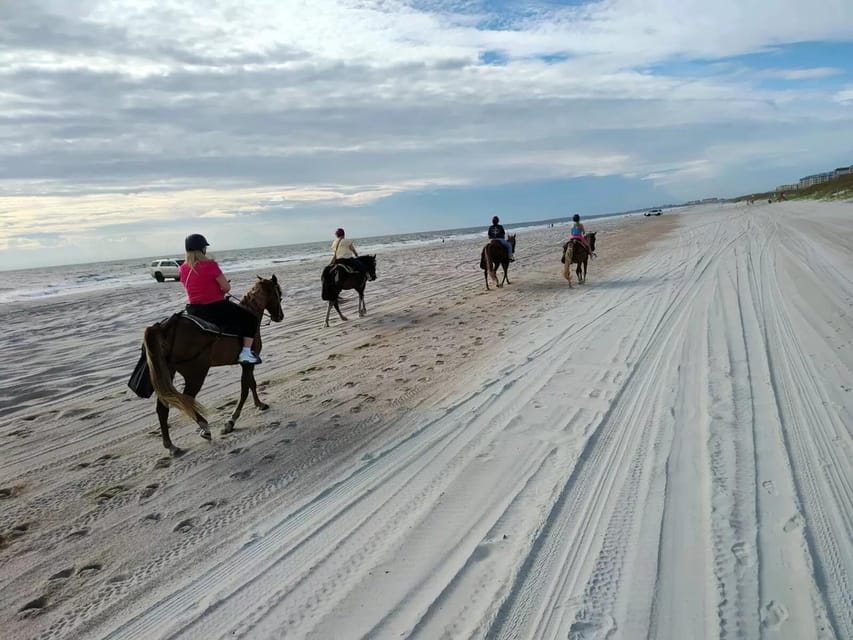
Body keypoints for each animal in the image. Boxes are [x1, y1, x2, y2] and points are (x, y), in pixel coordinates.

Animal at [141, 276, 284, 456]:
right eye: (279, 294)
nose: (280, 316)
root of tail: (165, 327)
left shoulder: (247, 364)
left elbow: (251, 383)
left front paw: (259, 404)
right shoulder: (247, 363)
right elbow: (246, 388)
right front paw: (231, 421)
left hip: (169, 373)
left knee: (163, 407)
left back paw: (171, 445)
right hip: (195, 374)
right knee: (186, 400)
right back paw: (204, 427)